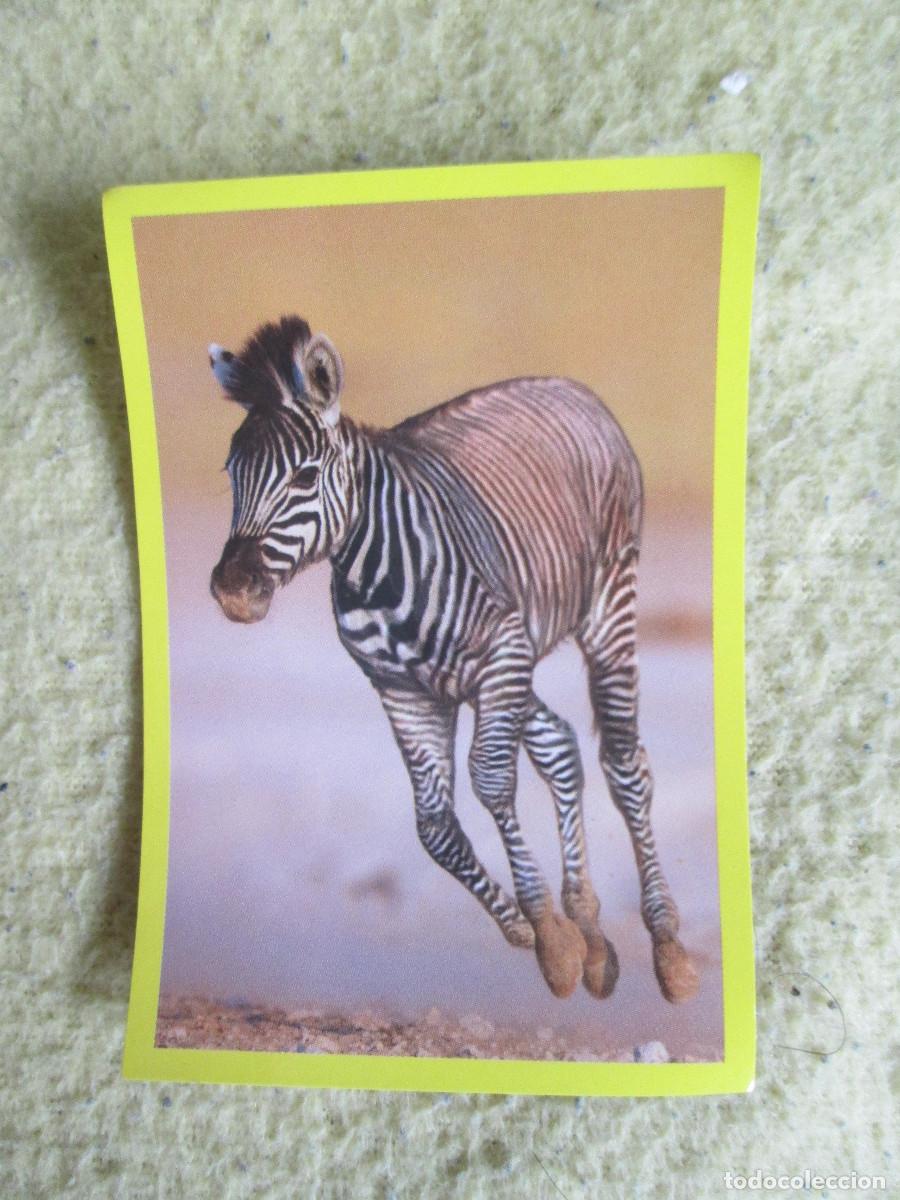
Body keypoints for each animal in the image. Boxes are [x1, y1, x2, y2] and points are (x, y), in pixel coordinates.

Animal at [208, 315, 699, 1005]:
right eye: (231, 473)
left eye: (304, 477)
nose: (233, 591)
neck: (373, 571)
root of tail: (567, 385)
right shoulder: (401, 688)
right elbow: (434, 825)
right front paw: (531, 929)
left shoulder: (499, 651)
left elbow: (490, 780)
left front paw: (550, 941)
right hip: (487, 674)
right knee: (559, 743)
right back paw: (594, 936)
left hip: (601, 609)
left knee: (625, 765)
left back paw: (668, 949)